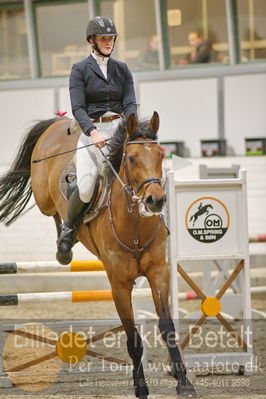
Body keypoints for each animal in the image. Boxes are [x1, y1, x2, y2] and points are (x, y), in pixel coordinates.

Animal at [0, 111, 195, 396]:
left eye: (160, 155)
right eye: (132, 158)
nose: (155, 200)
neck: (134, 226)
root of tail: (58, 122)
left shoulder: (158, 273)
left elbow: (167, 328)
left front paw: (184, 382)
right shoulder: (119, 284)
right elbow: (132, 337)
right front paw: (141, 387)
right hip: (43, 197)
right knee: (59, 208)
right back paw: (64, 244)